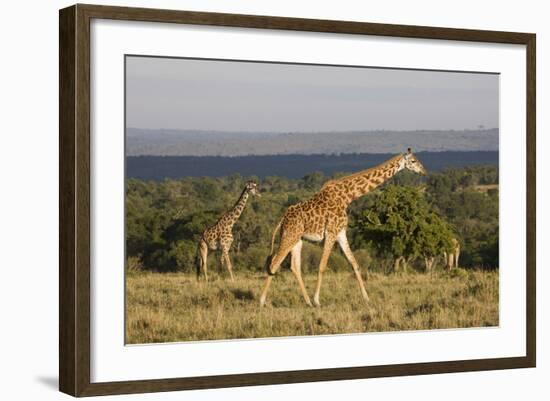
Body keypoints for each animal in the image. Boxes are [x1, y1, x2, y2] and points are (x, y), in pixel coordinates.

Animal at [260, 149, 430, 306]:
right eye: (413, 161)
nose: (424, 171)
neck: (348, 196)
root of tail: (282, 219)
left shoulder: (341, 233)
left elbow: (354, 263)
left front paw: (366, 298)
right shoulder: (331, 232)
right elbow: (322, 266)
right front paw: (317, 300)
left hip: (297, 239)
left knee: (294, 267)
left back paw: (307, 302)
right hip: (289, 236)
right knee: (274, 263)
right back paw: (262, 301)